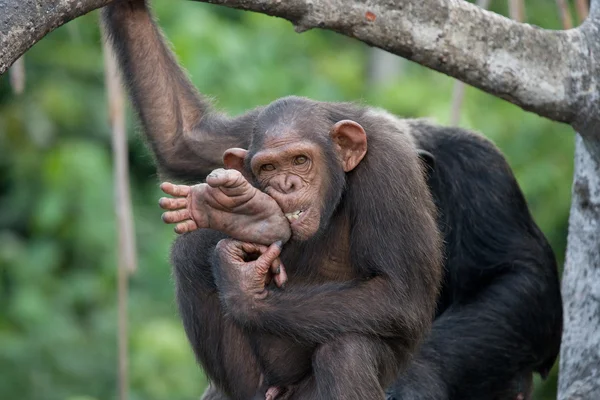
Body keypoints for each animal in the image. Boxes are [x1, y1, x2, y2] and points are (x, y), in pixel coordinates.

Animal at [102, 0, 564, 400]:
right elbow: (186, 140)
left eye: (301, 160)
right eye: (268, 168)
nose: (286, 184)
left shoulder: (476, 172)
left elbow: (511, 280)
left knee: (348, 352)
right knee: (193, 251)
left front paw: (246, 291)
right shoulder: (250, 133)